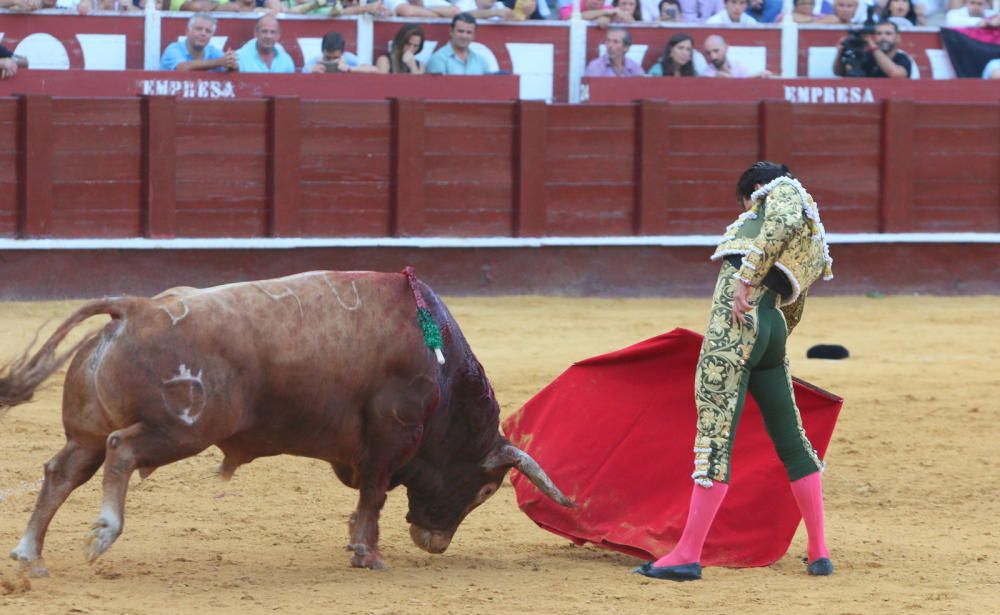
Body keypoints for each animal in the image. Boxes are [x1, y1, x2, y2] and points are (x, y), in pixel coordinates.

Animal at [0, 270, 576, 576]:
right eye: (487, 489)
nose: (433, 542)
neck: (440, 368)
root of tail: (134, 309)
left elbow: (365, 499)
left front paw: (358, 547)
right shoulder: (392, 435)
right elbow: (374, 497)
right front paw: (369, 555)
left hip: (88, 433)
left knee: (61, 472)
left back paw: (29, 557)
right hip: (183, 429)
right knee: (121, 450)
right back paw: (102, 533)